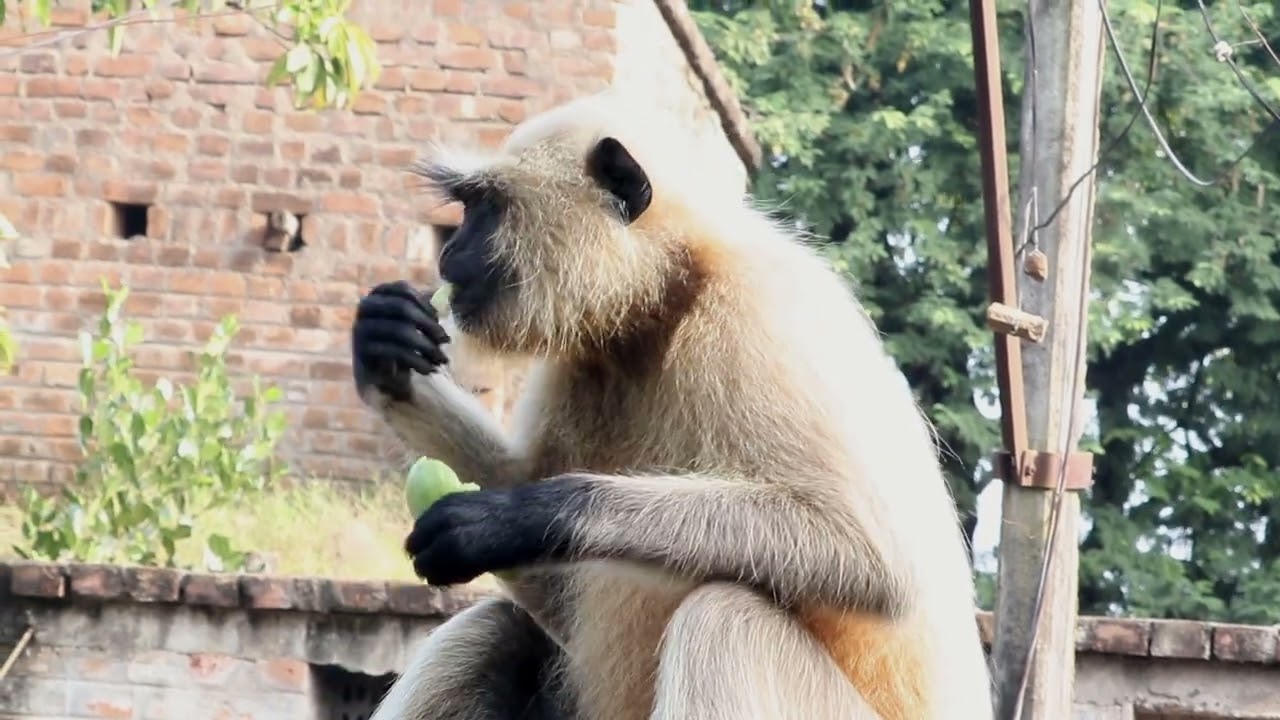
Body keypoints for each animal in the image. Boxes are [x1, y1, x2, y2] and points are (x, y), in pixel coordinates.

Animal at [351, 90, 995, 720]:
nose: (449, 253)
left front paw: (513, 517)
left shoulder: (758, 312)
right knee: (493, 629)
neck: (669, 299)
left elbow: (877, 558)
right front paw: (385, 347)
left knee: (725, 620)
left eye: (485, 208)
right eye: (465, 209)